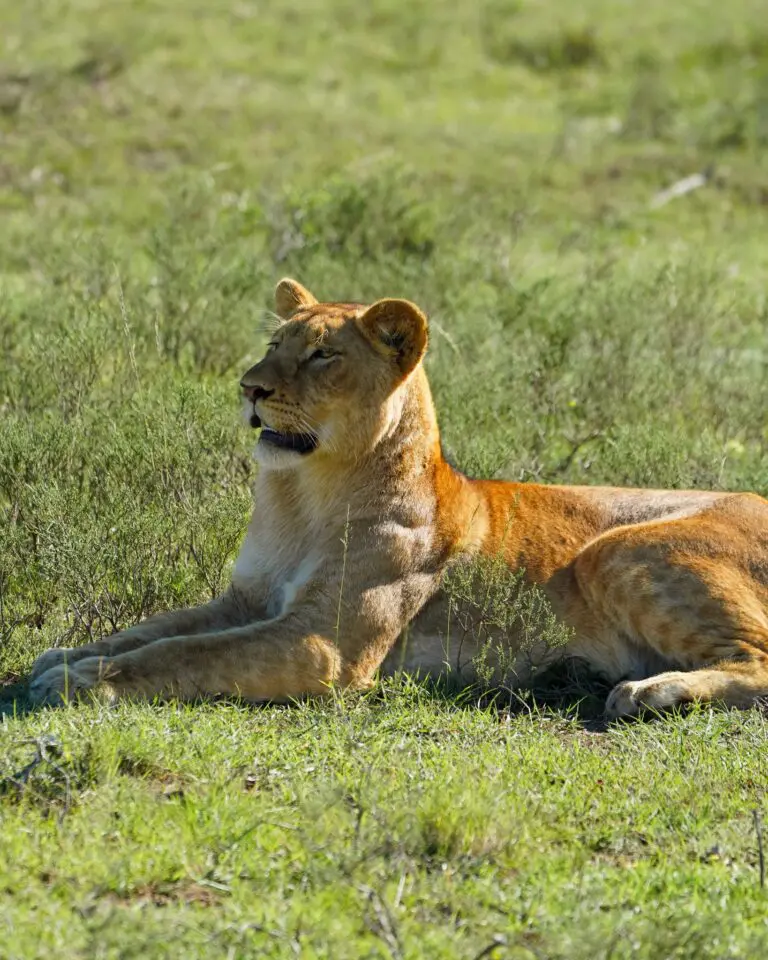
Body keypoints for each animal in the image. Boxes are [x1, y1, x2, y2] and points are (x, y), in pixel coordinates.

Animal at [29, 278, 768, 718]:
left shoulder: (324, 644)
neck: (303, 498)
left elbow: (185, 654)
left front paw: (84, 681)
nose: (249, 387)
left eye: (322, 355)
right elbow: (153, 629)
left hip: (614, 551)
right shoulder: (244, 600)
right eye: (273, 343)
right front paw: (61, 658)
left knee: (758, 661)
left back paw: (650, 691)